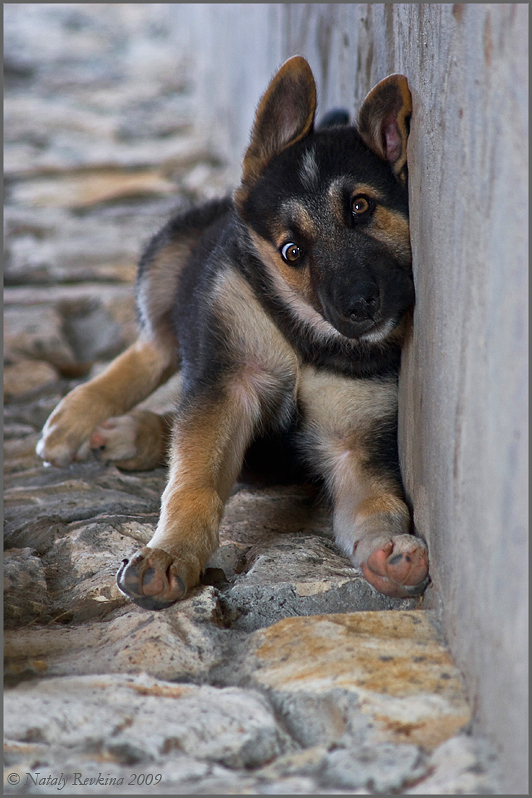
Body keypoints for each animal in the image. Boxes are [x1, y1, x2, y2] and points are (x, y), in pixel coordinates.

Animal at [36, 57, 428, 612]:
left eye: (361, 207)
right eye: (291, 251)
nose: (358, 306)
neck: (303, 337)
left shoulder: (356, 445)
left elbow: (376, 503)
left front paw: (389, 553)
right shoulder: (227, 385)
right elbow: (192, 480)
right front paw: (169, 553)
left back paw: (136, 433)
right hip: (171, 253)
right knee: (155, 349)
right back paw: (78, 415)